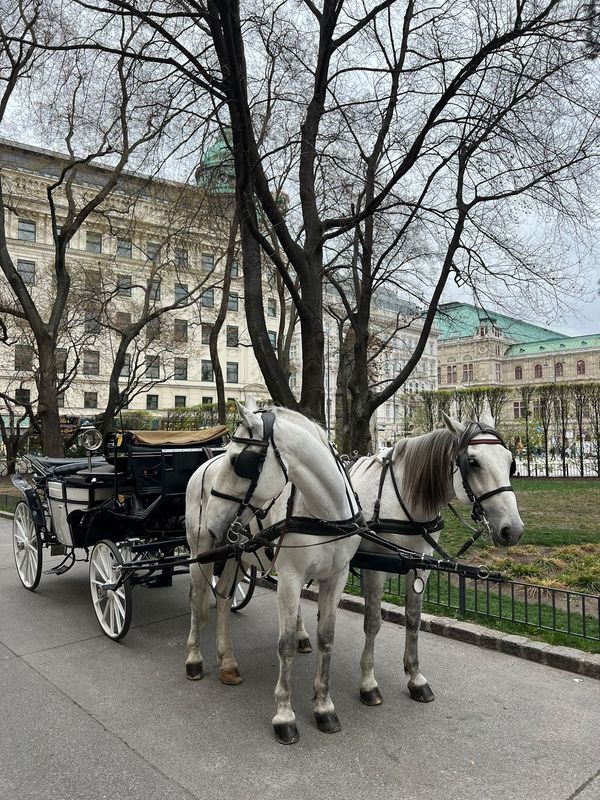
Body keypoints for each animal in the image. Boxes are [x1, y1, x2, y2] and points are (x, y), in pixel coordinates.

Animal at [184, 404, 360, 748]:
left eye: (237, 461)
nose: (211, 522)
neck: (326, 515)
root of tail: (202, 465)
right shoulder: (290, 579)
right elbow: (286, 644)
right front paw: (284, 715)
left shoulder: (337, 577)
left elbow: (327, 638)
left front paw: (324, 707)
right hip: (202, 550)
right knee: (198, 599)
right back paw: (194, 659)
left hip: (232, 552)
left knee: (223, 601)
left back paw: (228, 662)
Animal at [350, 412, 524, 708]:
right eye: (472, 462)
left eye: (510, 462)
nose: (512, 530)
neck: (399, 497)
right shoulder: (375, 566)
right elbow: (372, 621)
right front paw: (368, 682)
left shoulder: (421, 565)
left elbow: (413, 618)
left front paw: (415, 677)